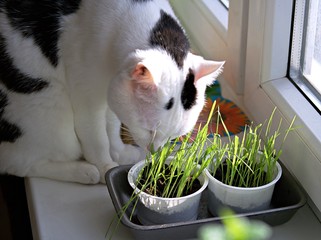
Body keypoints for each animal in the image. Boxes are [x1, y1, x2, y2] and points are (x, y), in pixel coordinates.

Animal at [0, 0, 224, 184]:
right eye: (149, 130)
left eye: (175, 136)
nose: (154, 152)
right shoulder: (87, 100)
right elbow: (97, 139)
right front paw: (105, 168)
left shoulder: (111, 95)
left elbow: (112, 126)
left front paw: (119, 153)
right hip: (50, 109)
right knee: (19, 165)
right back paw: (86, 172)